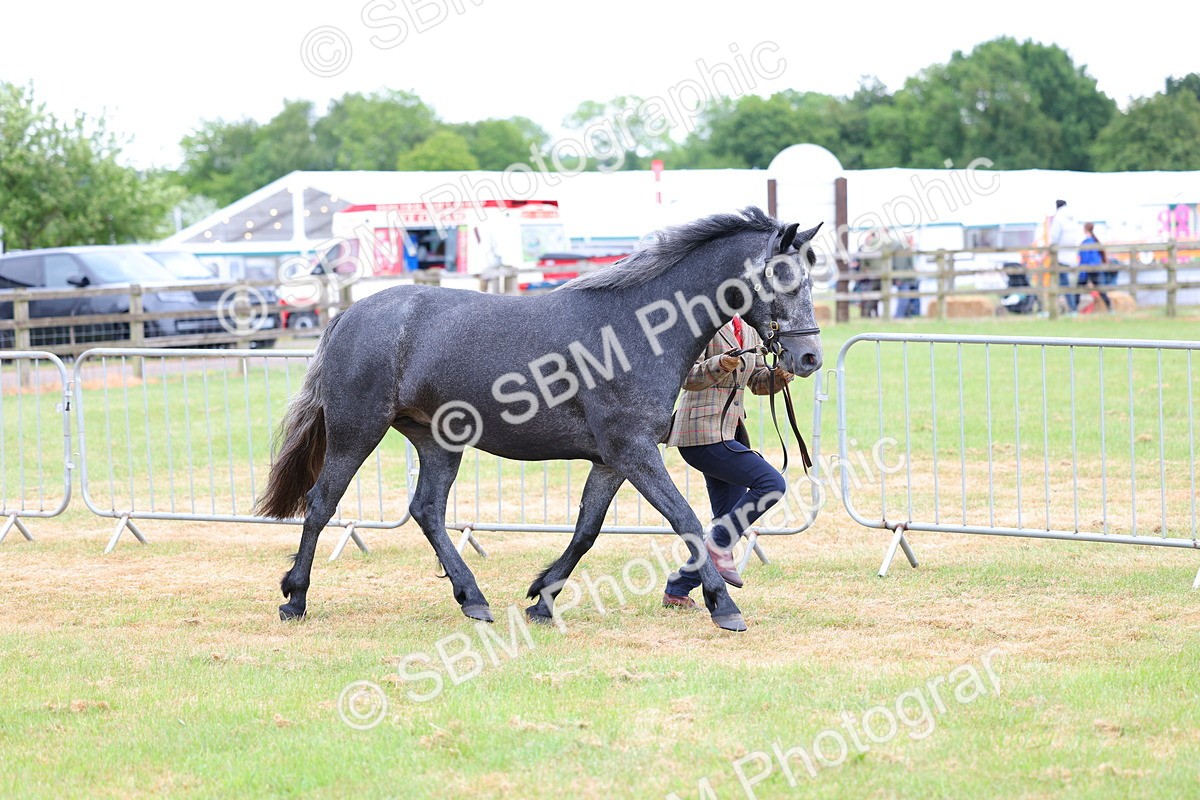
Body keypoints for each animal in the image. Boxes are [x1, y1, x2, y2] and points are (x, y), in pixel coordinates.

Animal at [254, 206, 823, 631]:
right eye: (785, 278)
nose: (809, 358)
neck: (636, 329)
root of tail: (348, 315)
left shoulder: (613, 460)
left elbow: (587, 530)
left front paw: (542, 599)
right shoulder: (634, 452)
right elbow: (685, 519)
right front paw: (724, 607)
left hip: (438, 443)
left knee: (427, 510)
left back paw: (473, 598)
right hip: (356, 432)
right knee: (322, 503)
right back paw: (295, 598)